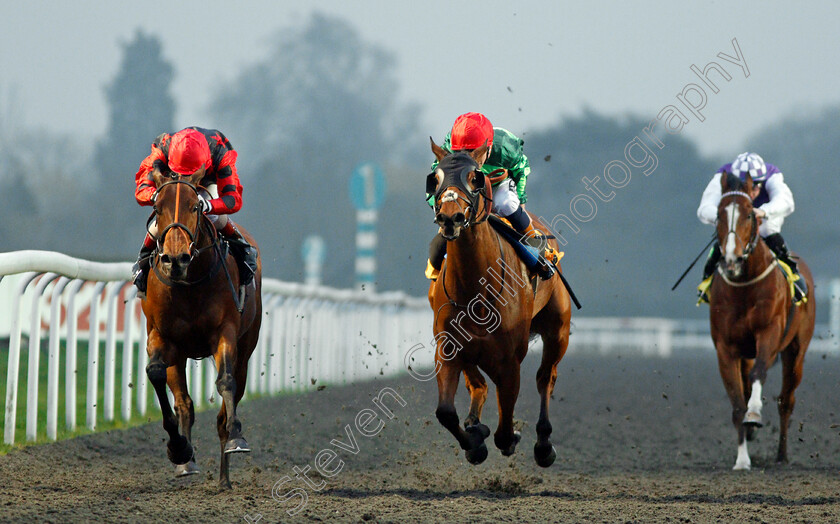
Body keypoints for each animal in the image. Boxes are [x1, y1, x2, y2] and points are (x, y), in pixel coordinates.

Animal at [140, 170, 262, 490]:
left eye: (195, 207)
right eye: (157, 208)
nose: (175, 258)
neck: (188, 284)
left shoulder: (225, 334)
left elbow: (226, 382)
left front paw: (236, 437)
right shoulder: (162, 337)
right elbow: (155, 373)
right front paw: (179, 449)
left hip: (247, 347)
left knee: (226, 403)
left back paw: (224, 478)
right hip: (180, 353)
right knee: (184, 403)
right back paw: (186, 462)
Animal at [426, 140, 572, 466]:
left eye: (475, 177)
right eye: (435, 178)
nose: (450, 217)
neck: (475, 292)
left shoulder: (509, 361)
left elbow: (504, 432)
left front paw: (510, 437)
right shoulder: (448, 347)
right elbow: (446, 412)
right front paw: (474, 441)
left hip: (558, 330)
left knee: (546, 377)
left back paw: (544, 444)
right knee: (477, 385)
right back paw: (475, 423)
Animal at [708, 172, 812, 470]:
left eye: (748, 215)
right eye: (719, 214)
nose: (731, 258)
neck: (744, 286)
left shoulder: (769, 332)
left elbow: (759, 375)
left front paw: (754, 414)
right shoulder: (726, 348)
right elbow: (736, 403)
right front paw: (742, 460)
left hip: (795, 352)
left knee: (786, 400)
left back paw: (782, 456)